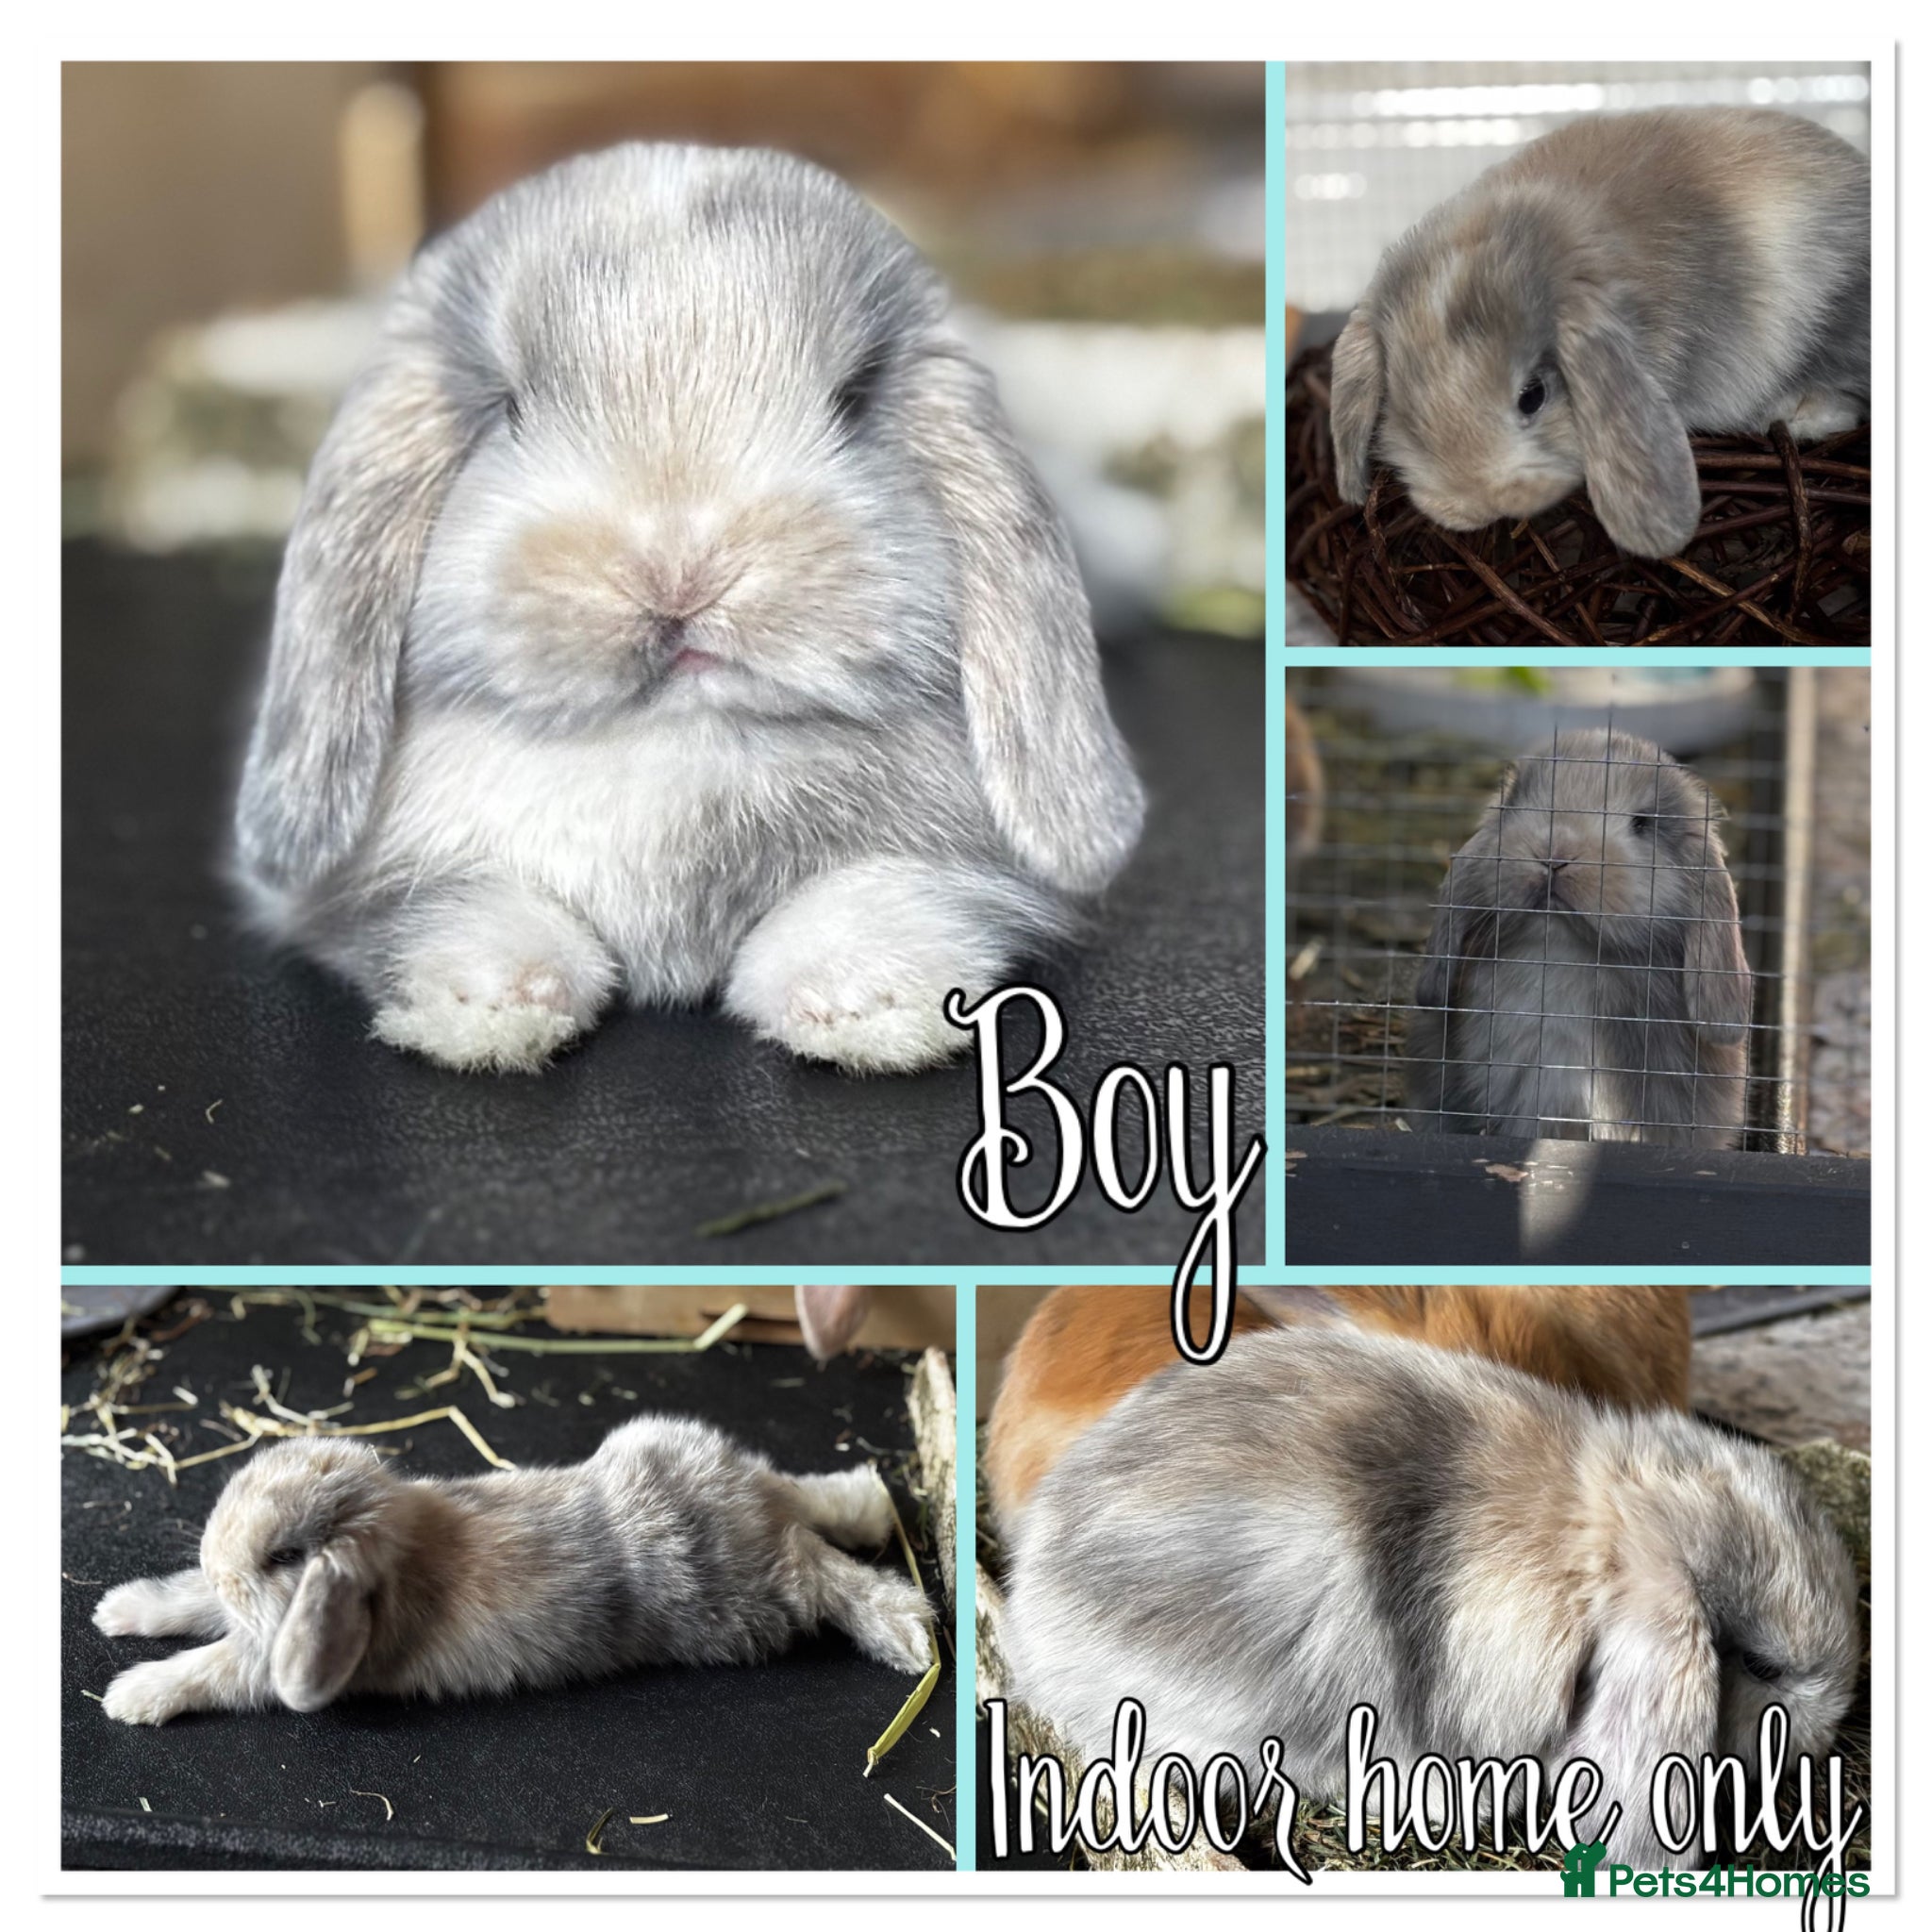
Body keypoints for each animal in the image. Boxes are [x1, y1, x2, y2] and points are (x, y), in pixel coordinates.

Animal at [91, 1417, 931, 1725]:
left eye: (286, 1557)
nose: (219, 1561)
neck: (399, 1550)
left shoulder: (270, 1649)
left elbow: (213, 1668)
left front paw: (129, 1697)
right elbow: (189, 1603)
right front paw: (118, 1609)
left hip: (749, 1597)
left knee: (818, 1566)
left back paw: (912, 1633)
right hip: (727, 1481)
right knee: (804, 1499)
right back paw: (870, 1497)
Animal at [233, 143, 1144, 1076]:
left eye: (854, 399)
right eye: (506, 406)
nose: (679, 570)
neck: (676, 744)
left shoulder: (954, 869)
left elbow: (876, 895)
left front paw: (865, 1005)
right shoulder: (394, 882)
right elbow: (464, 904)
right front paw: (491, 1005)